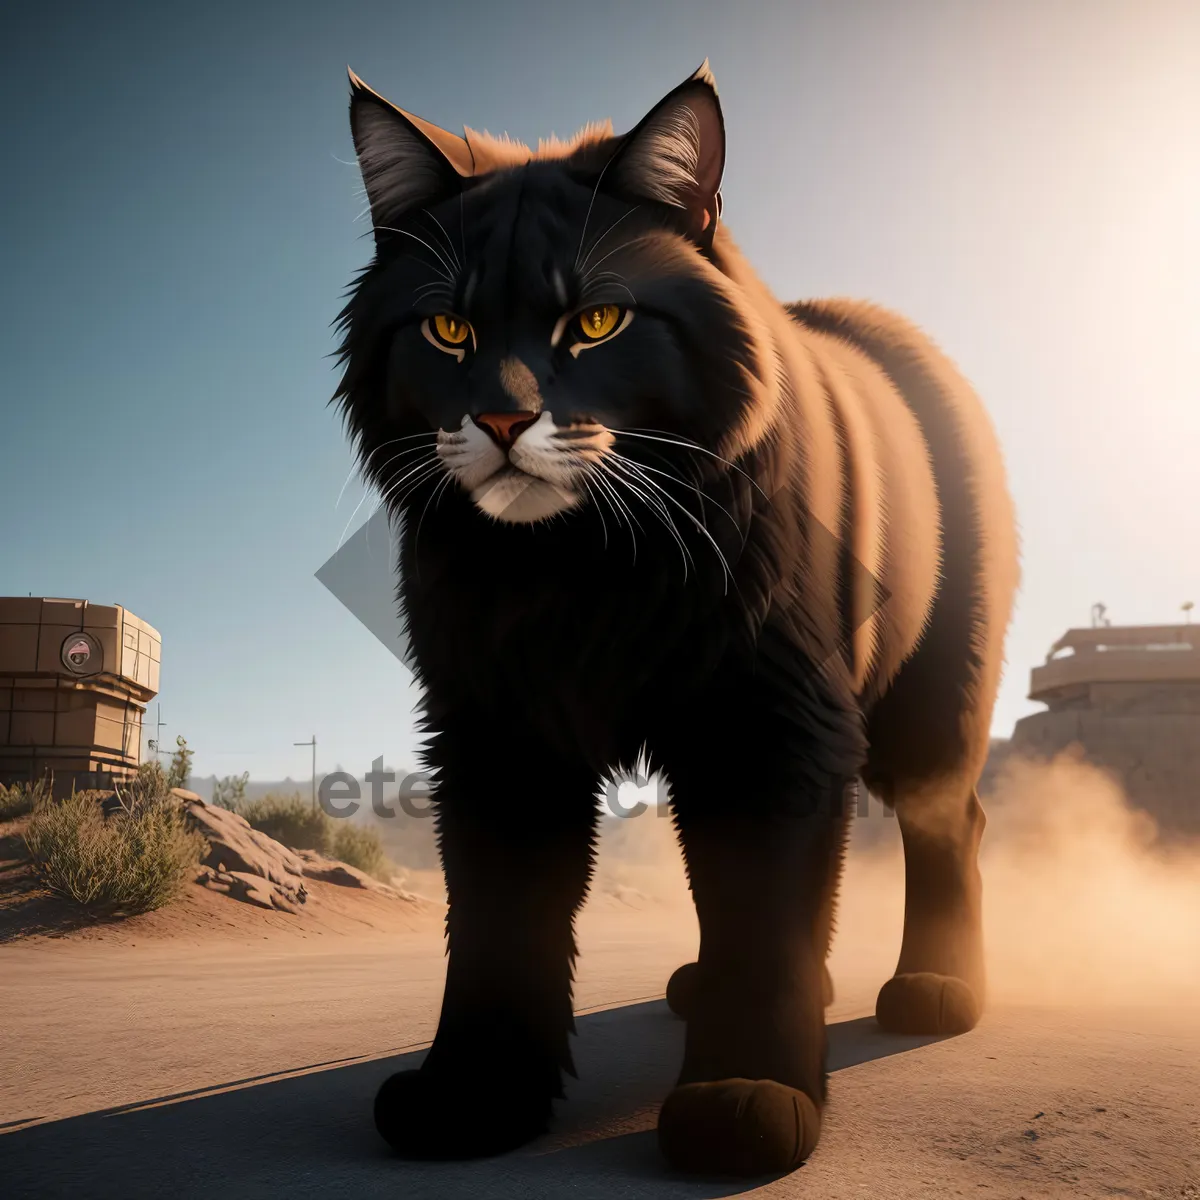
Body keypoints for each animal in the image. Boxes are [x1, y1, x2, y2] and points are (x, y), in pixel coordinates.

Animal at [333, 60, 1017, 1176]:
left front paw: (745, 1098)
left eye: (597, 323)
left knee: (948, 816)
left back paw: (938, 992)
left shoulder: (769, 722)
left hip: (932, 694)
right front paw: (476, 1099)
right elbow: (500, 921)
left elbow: (764, 906)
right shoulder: (494, 731)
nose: (504, 419)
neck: (574, 567)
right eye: (449, 331)